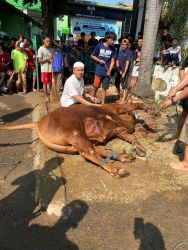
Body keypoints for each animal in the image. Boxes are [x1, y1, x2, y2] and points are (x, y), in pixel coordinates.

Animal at [0, 101, 150, 178]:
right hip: (76, 133)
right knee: (90, 153)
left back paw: (123, 157)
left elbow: (132, 137)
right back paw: (116, 169)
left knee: (95, 151)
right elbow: (131, 106)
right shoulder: (114, 108)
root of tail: (39, 122)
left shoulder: (120, 131)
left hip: (73, 145)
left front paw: (139, 147)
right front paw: (149, 108)